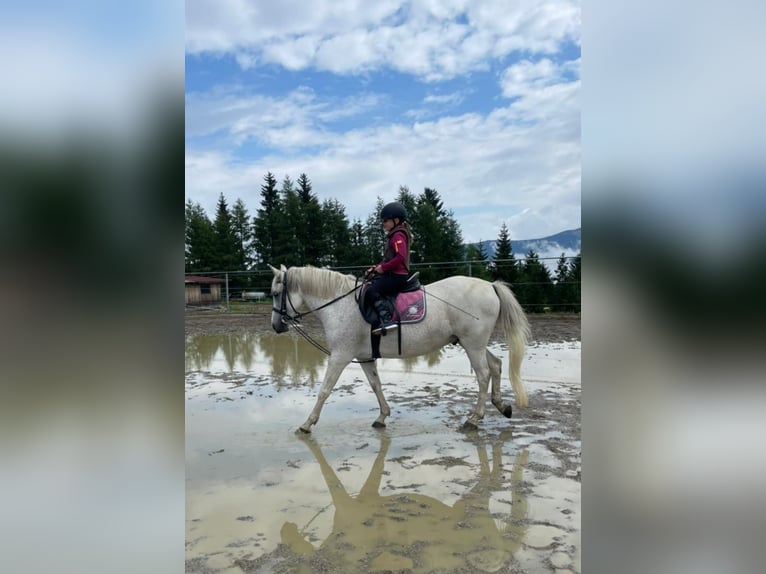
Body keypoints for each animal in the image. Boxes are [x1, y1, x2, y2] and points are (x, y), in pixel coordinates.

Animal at [269, 264, 530, 433]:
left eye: (275, 293)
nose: (276, 326)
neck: (340, 305)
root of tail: (490, 286)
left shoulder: (340, 356)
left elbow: (324, 390)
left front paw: (307, 424)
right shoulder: (364, 357)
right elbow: (375, 385)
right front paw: (382, 416)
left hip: (473, 344)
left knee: (484, 374)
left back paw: (474, 419)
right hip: (473, 343)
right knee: (495, 365)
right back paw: (502, 406)